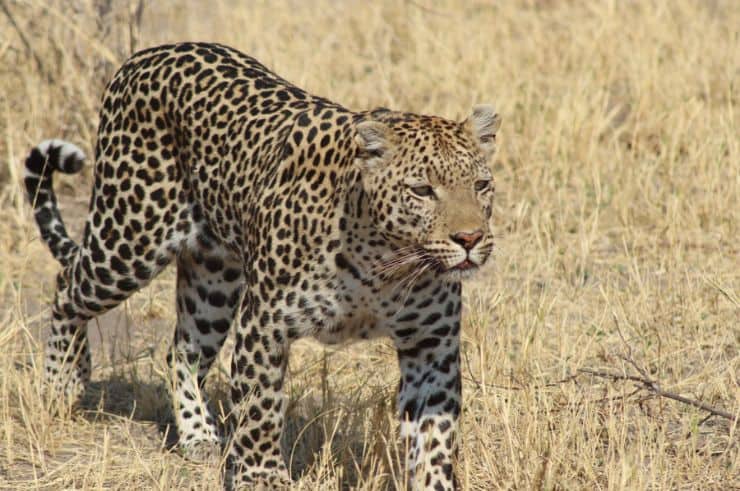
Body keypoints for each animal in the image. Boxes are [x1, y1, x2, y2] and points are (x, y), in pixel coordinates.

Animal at [26, 43, 502, 491]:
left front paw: (434, 480)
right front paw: (261, 477)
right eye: (421, 190)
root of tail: (144, 56)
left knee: (182, 349)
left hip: (213, 283)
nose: (470, 239)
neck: (385, 265)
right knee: (68, 285)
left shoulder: (431, 345)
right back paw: (61, 385)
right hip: (129, 239)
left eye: (481, 185)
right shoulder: (265, 323)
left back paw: (198, 435)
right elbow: (260, 407)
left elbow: (435, 437)